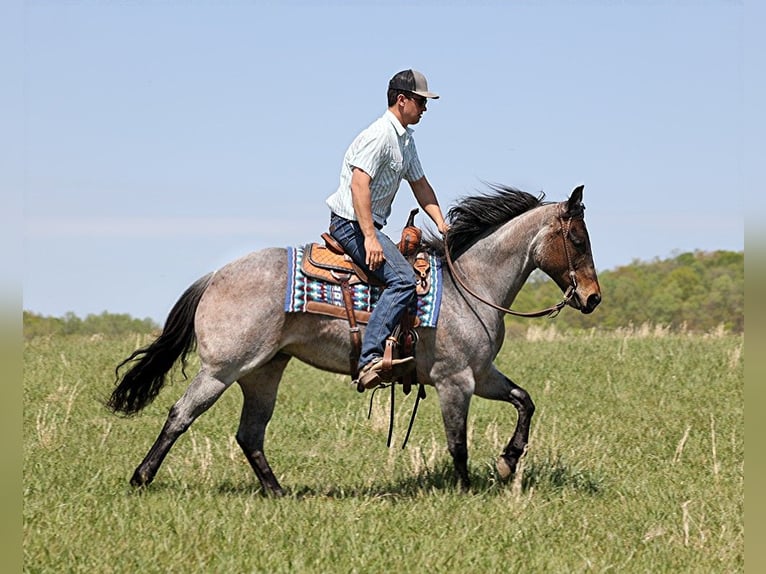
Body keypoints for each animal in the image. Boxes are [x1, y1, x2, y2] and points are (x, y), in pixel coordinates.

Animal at [109, 184, 600, 496]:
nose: (593, 297)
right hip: (220, 370)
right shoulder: (454, 380)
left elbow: (524, 401)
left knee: (250, 434)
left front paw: (508, 461)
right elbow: (457, 442)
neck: (470, 286)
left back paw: (279, 492)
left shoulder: (482, 375)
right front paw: (466, 490)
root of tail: (215, 276)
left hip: (263, 372)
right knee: (180, 415)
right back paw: (141, 478)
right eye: (578, 239)